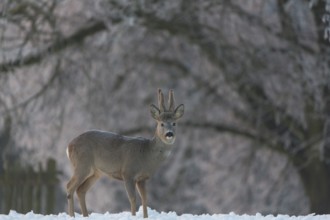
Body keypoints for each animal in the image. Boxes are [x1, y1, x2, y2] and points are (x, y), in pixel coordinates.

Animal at [65, 89, 184, 218]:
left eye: (174, 123)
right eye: (161, 123)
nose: (169, 134)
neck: (147, 154)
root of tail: (69, 146)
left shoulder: (142, 178)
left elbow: (145, 199)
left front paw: (145, 217)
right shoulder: (128, 173)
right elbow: (132, 198)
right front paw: (133, 216)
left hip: (95, 172)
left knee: (81, 190)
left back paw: (85, 215)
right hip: (82, 164)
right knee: (69, 186)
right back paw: (72, 215)